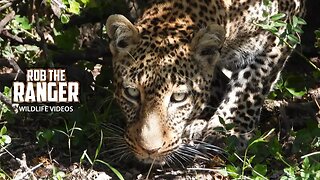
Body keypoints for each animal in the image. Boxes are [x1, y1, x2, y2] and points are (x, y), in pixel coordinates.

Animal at [105, 0, 304, 166]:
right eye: (132, 93)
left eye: (179, 97)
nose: (149, 150)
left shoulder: (282, 27)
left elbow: (250, 83)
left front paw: (228, 132)